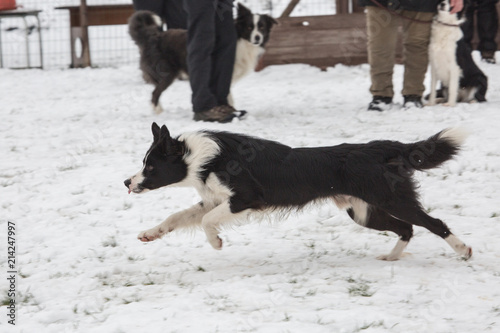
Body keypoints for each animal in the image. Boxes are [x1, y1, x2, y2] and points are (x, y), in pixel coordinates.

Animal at [125, 123, 472, 260]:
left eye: (151, 167)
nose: (127, 182)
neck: (201, 158)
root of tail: (383, 147)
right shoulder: (213, 200)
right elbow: (178, 216)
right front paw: (149, 234)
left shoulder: (246, 198)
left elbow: (209, 222)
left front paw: (216, 243)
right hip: (363, 212)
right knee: (406, 228)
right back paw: (391, 257)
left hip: (392, 199)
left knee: (433, 224)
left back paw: (463, 250)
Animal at [129, 3, 278, 113]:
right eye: (249, 27)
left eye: (262, 27)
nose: (258, 38)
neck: (241, 40)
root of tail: (152, 37)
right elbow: (228, 95)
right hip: (168, 73)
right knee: (155, 92)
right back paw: (158, 111)